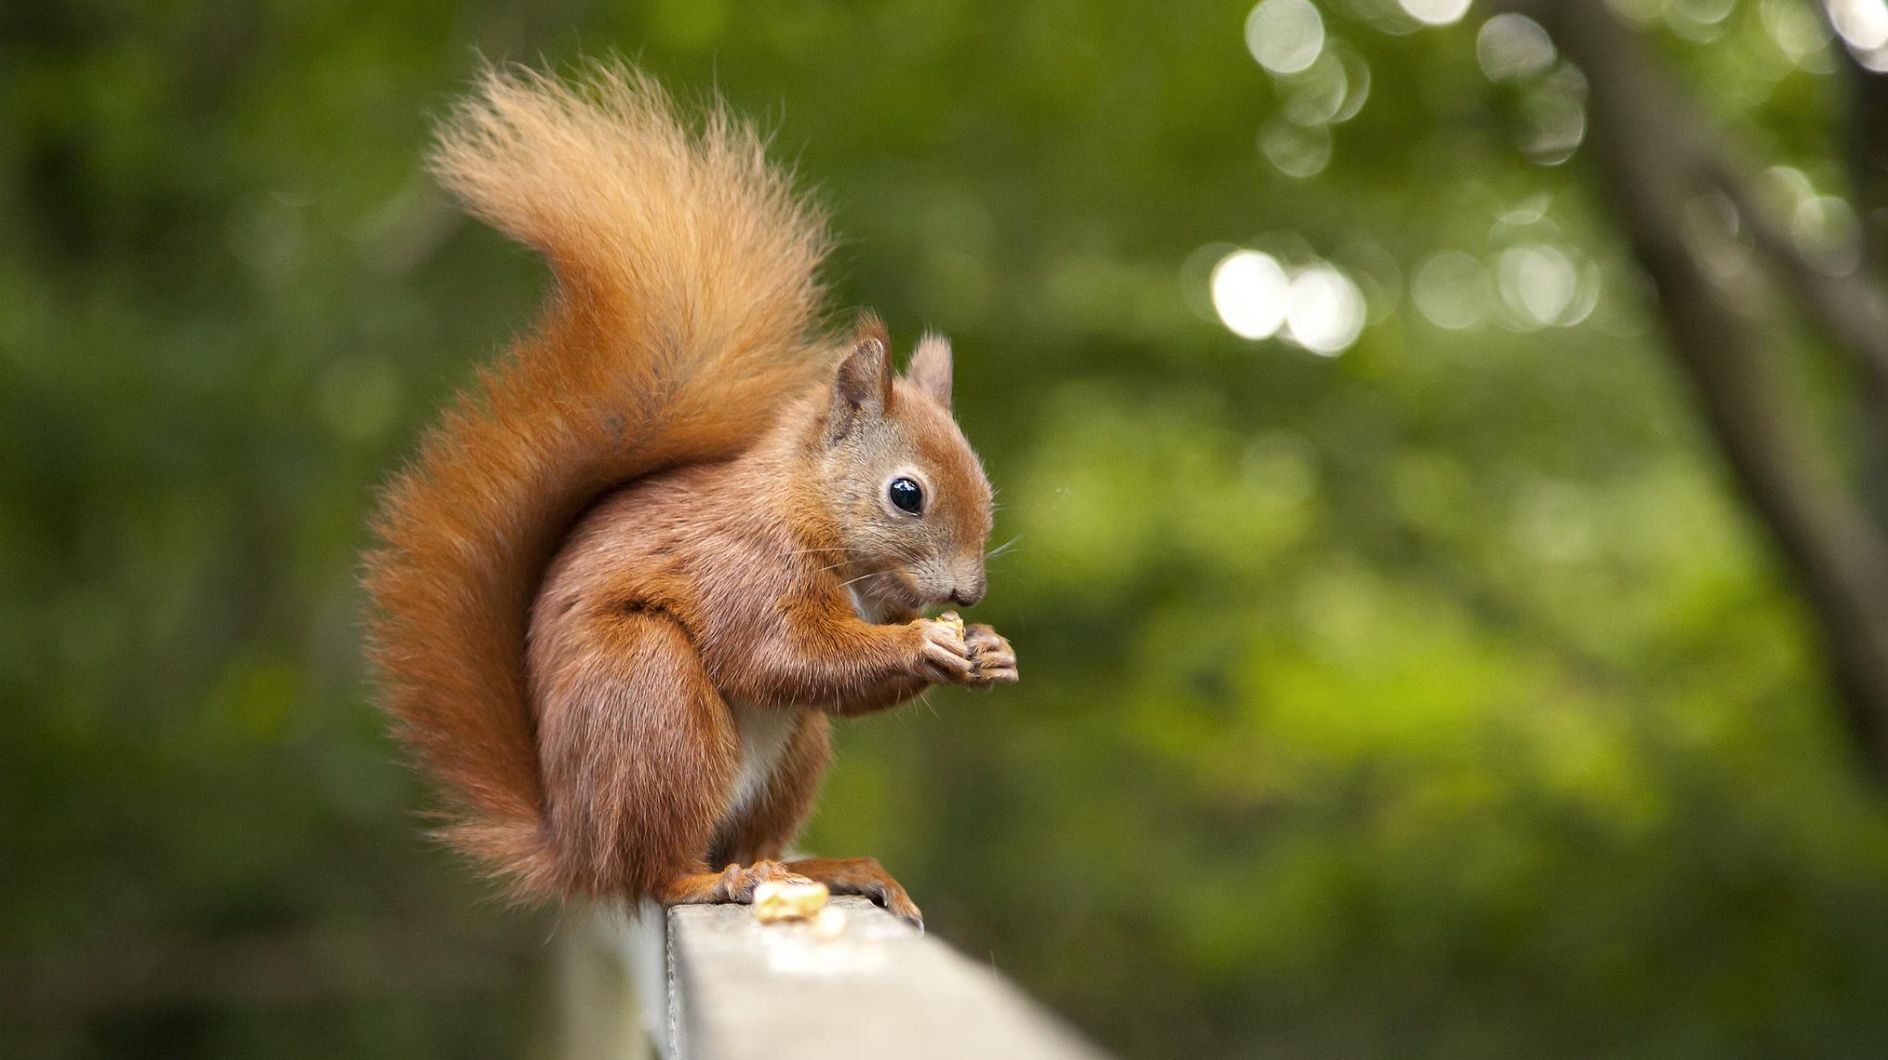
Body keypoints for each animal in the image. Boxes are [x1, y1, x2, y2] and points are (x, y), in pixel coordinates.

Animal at [360, 66, 1011, 925]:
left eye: (985, 486)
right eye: (906, 494)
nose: (968, 596)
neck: (807, 512)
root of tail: (575, 845)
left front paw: (990, 649)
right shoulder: (742, 568)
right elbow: (783, 653)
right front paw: (924, 643)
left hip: (790, 753)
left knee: (752, 837)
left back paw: (824, 868)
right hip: (653, 698)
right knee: (658, 870)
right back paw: (711, 881)